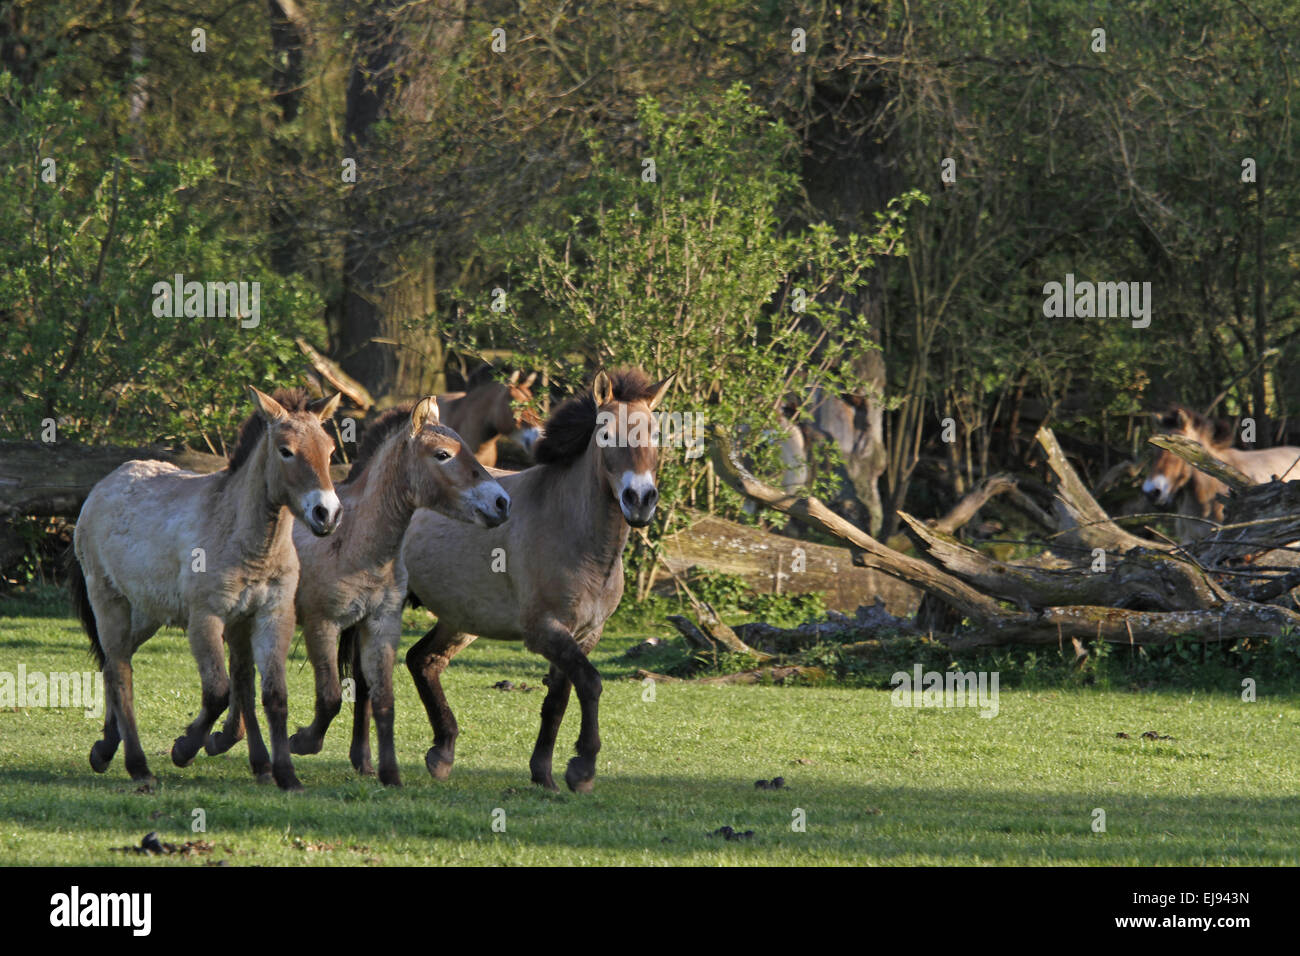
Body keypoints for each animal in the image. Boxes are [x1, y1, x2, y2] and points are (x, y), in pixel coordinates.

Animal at [68, 385, 343, 790]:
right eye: (286, 450)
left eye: (329, 450)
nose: (327, 514)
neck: (246, 541)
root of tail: (101, 488)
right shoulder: (206, 618)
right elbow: (218, 693)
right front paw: (184, 748)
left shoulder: (270, 616)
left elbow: (272, 695)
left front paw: (285, 774)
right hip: (110, 603)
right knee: (119, 673)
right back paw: (138, 766)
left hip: (147, 614)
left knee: (113, 664)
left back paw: (104, 748)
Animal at [201, 395, 506, 785]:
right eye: (443, 454)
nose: (501, 502)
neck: (358, 543)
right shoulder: (322, 625)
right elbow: (331, 697)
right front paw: (303, 741)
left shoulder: (379, 624)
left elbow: (380, 697)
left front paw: (386, 772)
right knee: (244, 679)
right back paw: (237, 747)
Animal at [364, 366, 676, 790]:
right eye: (606, 435)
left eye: (656, 434)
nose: (639, 499)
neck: (575, 534)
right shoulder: (545, 631)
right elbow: (590, 683)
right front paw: (582, 768)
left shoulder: (585, 634)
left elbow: (558, 699)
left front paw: (544, 773)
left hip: (461, 620)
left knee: (423, 661)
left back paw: (442, 752)